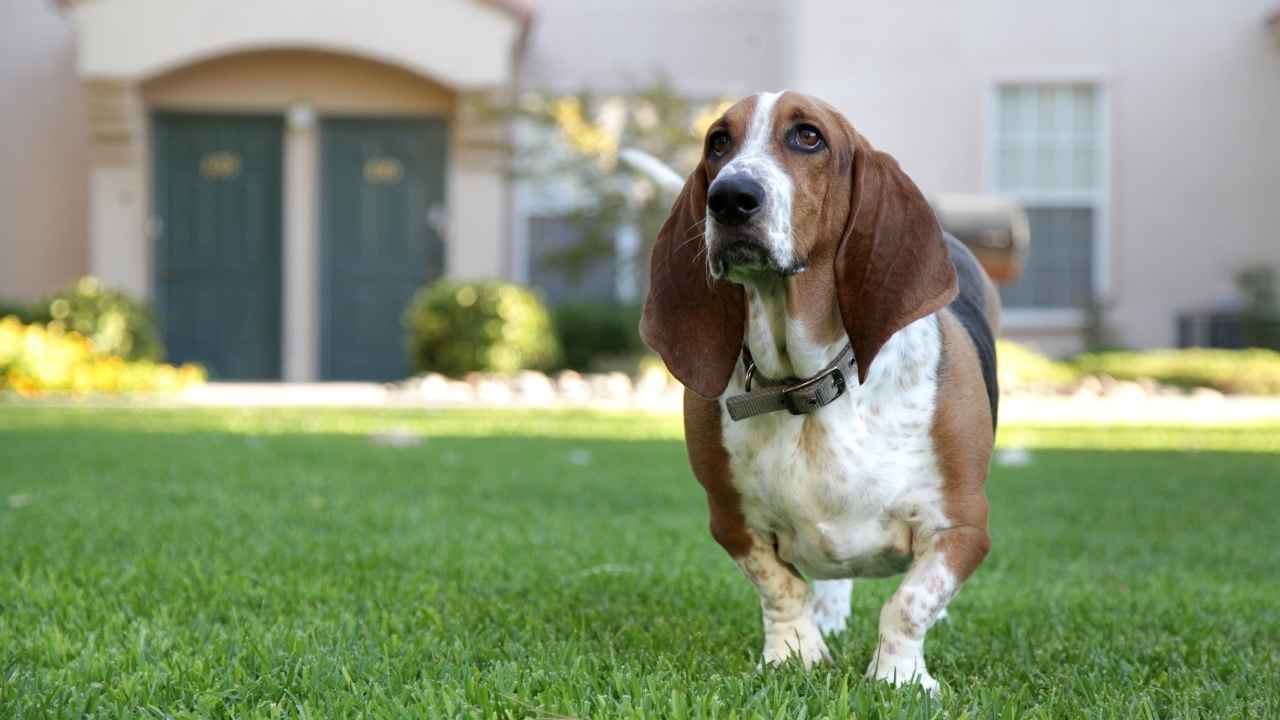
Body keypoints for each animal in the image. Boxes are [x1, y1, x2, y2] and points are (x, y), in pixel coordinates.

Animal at [640, 89, 998, 691]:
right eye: (718, 141)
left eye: (808, 137)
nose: (729, 198)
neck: (807, 386)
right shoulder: (732, 522)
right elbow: (783, 590)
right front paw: (793, 654)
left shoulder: (963, 526)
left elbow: (908, 604)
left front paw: (899, 677)